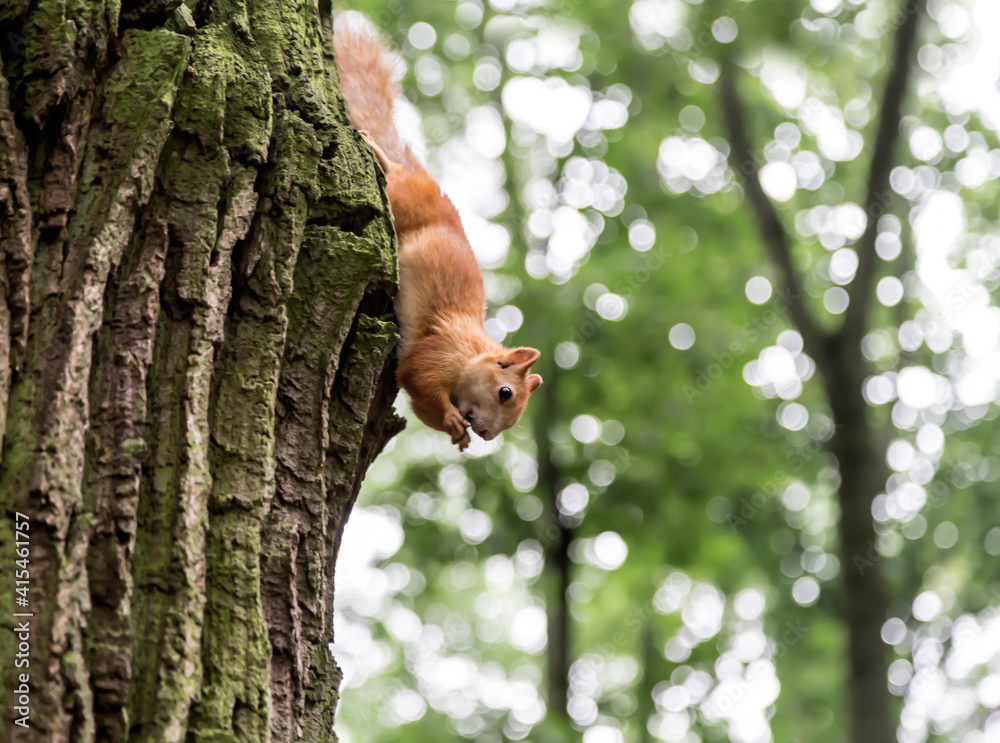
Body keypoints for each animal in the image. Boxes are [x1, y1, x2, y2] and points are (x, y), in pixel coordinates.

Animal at [334, 15, 543, 452]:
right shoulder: (437, 350)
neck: (471, 352)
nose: (485, 433)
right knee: (394, 178)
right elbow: (416, 375)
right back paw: (379, 155)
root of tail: (425, 180)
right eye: (505, 392)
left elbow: (420, 406)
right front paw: (450, 419)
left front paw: (456, 434)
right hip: (403, 201)